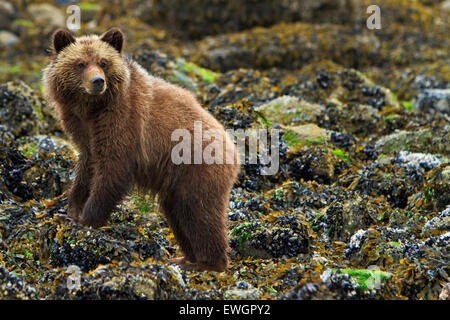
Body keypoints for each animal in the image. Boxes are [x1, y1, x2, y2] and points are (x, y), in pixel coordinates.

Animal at [42, 28, 239, 272]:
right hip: (176, 183)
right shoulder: (82, 130)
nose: (98, 81)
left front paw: (88, 219)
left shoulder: (124, 122)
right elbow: (86, 168)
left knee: (201, 214)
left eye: (103, 62)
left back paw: (207, 263)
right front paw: (70, 212)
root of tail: (233, 148)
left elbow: (112, 172)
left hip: (198, 167)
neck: (92, 108)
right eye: (80, 63)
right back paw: (184, 258)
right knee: (178, 214)